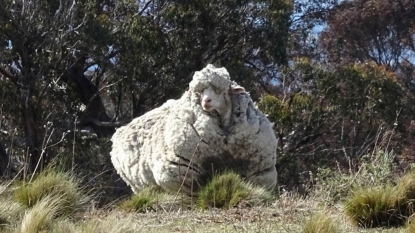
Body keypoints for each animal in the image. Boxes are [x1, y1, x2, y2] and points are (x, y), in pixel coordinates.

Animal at [112, 63, 278, 195]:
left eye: (221, 91)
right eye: (199, 92)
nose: (206, 101)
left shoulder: (259, 172)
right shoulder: (180, 172)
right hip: (139, 185)